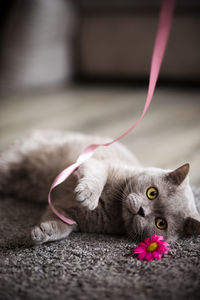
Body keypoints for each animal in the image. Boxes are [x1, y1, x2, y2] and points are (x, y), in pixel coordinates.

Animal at [0, 129, 199, 244]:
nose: (142, 211)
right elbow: (97, 179)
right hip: (15, 159)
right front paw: (87, 196)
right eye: (152, 192)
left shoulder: (70, 215)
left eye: (161, 223)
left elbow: (62, 227)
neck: (114, 207)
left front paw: (43, 233)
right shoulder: (96, 163)